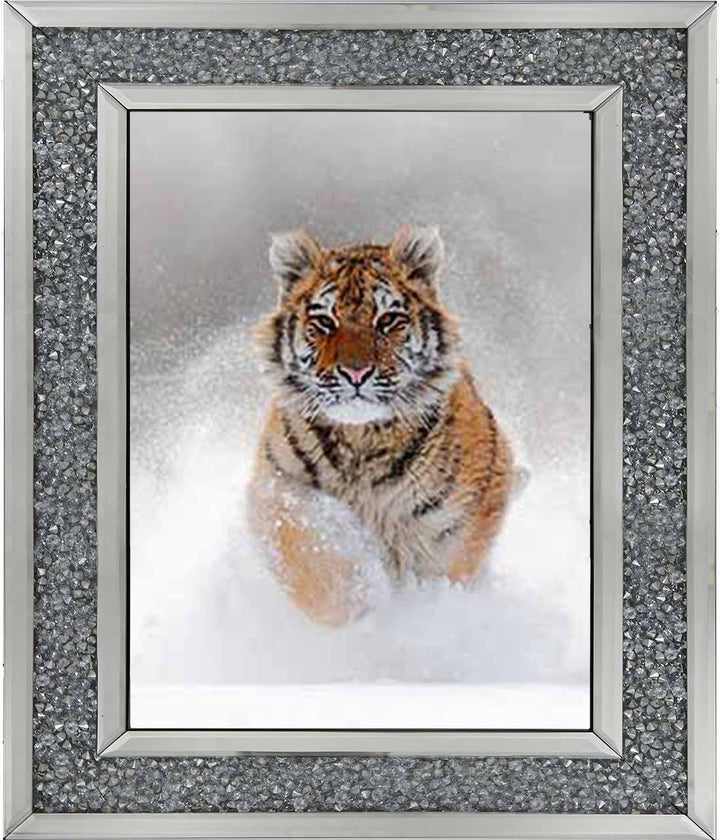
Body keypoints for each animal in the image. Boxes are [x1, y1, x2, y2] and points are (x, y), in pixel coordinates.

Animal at [248, 225, 515, 626]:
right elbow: (311, 550)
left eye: (387, 320)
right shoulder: (275, 487)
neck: (361, 439)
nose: (355, 373)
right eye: (325, 322)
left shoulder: (465, 515)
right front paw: (359, 603)